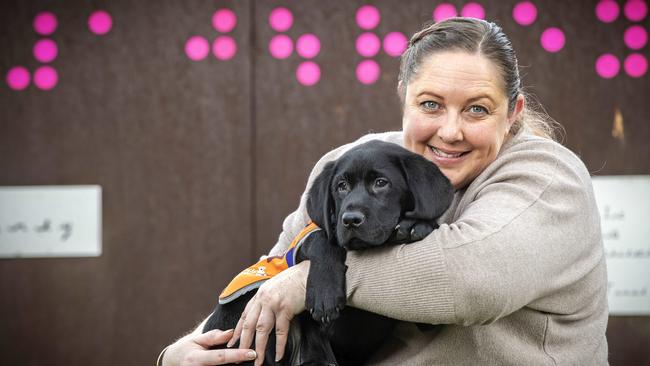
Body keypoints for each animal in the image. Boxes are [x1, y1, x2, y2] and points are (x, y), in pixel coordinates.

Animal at [202, 139, 450, 364]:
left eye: (381, 183)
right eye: (341, 186)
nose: (350, 220)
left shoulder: (424, 314)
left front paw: (416, 225)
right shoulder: (302, 242)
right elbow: (323, 238)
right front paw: (325, 294)